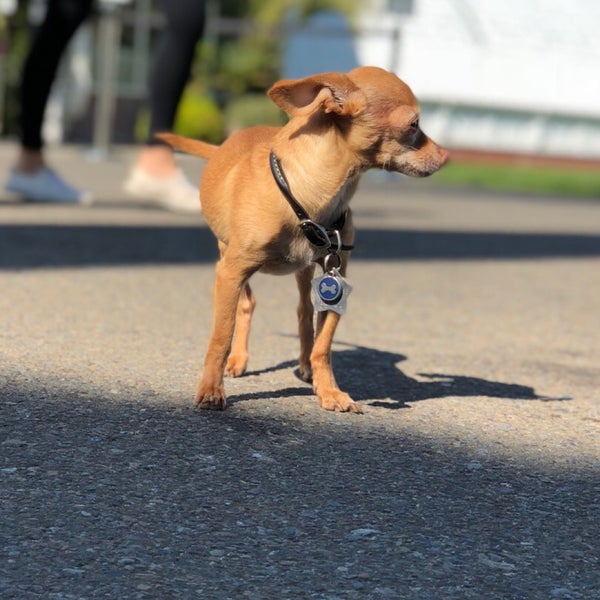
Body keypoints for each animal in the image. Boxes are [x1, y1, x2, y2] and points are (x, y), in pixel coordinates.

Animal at [157, 64, 448, 412]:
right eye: (413, 125)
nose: (447, 155)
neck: (310, 197)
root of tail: (223, 145)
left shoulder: (337, 278)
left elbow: (324, 344)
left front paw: (330, 390)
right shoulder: (231, 272)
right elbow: (221, 336)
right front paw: (212, 389)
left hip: (304, 271)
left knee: (304, 312)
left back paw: (305, 365)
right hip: (226, 257)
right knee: (247, 303)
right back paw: (238, 360)